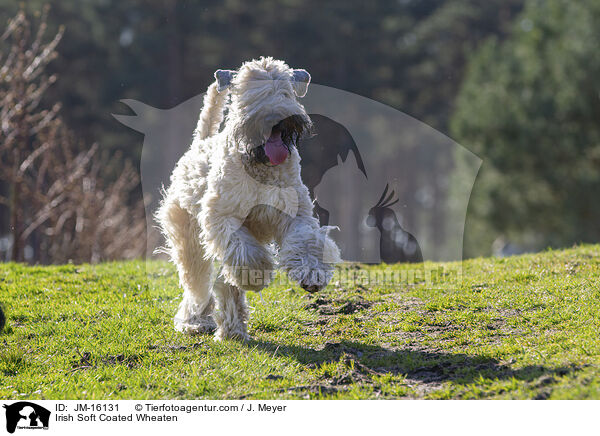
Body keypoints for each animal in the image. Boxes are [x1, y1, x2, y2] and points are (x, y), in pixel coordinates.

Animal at [157, 57, 340, 340]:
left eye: (285, 91)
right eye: (250, 92)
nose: (276, 118)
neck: (259, 165)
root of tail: (199, 143)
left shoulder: (295, 215)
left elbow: (306, 242)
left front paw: (312, 272)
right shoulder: (223, 218)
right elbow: (245, 252)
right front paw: (256, 275)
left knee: (224, 283)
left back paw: (232, 329)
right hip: (188, 236)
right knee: (198, 281)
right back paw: (197, 321)